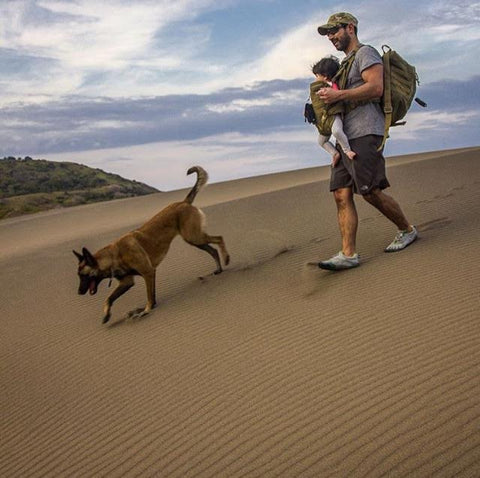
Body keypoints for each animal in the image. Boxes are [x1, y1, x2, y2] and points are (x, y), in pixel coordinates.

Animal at [72, 165, 230, 324]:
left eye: (83, 275)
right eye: (79, 276)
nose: (79, 292)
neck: (114, 254)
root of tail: (183, 202)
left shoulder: (148, 272)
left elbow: (149, 296)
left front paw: (146, 310)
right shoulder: (127, 282)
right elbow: (109, 298)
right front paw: (107, 314)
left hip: (194, 237)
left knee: (219, 238)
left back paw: (227, 258)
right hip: (194, 240)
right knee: (213, 250)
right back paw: (219, 269)